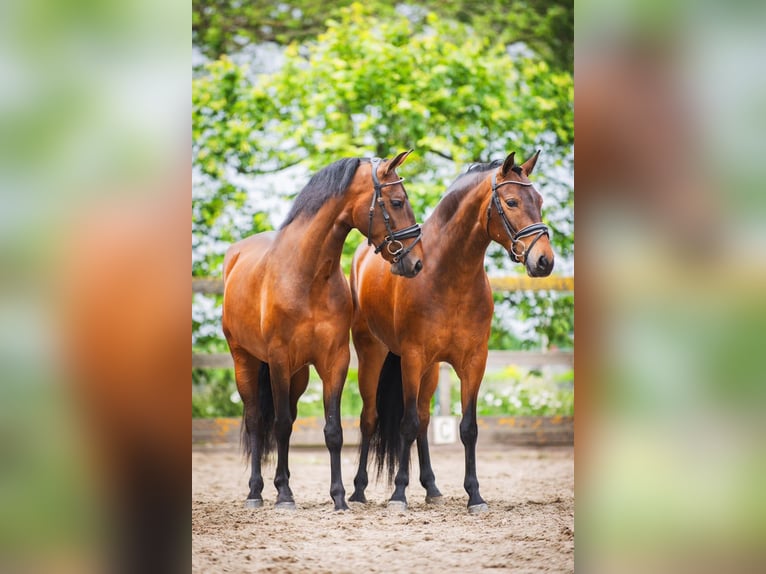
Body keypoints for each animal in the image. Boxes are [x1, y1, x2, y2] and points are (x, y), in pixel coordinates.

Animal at [222, 151, 426, 510]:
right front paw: (283, 495)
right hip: (244, 361)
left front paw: (339, 497)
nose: (414, 262)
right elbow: (281, 424)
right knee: (256, 421)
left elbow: (333, 431)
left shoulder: (334, 361)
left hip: (298, 375)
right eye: (397, 202)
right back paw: (256, 492)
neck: (308, 276)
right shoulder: (278, 359)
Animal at [352, 152, 556, 512]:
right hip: (373, 356)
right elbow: (405, 424)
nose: (544, 261)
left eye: (541, 201)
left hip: (430, 370)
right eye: (512, 202)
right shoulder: (412, 358)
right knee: (370, 418)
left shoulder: (473, 362)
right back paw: (359, 490)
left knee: (422, 419)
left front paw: (475, 495)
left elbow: (467, 428)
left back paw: (431, 488)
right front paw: (398, 494)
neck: (447, 275)